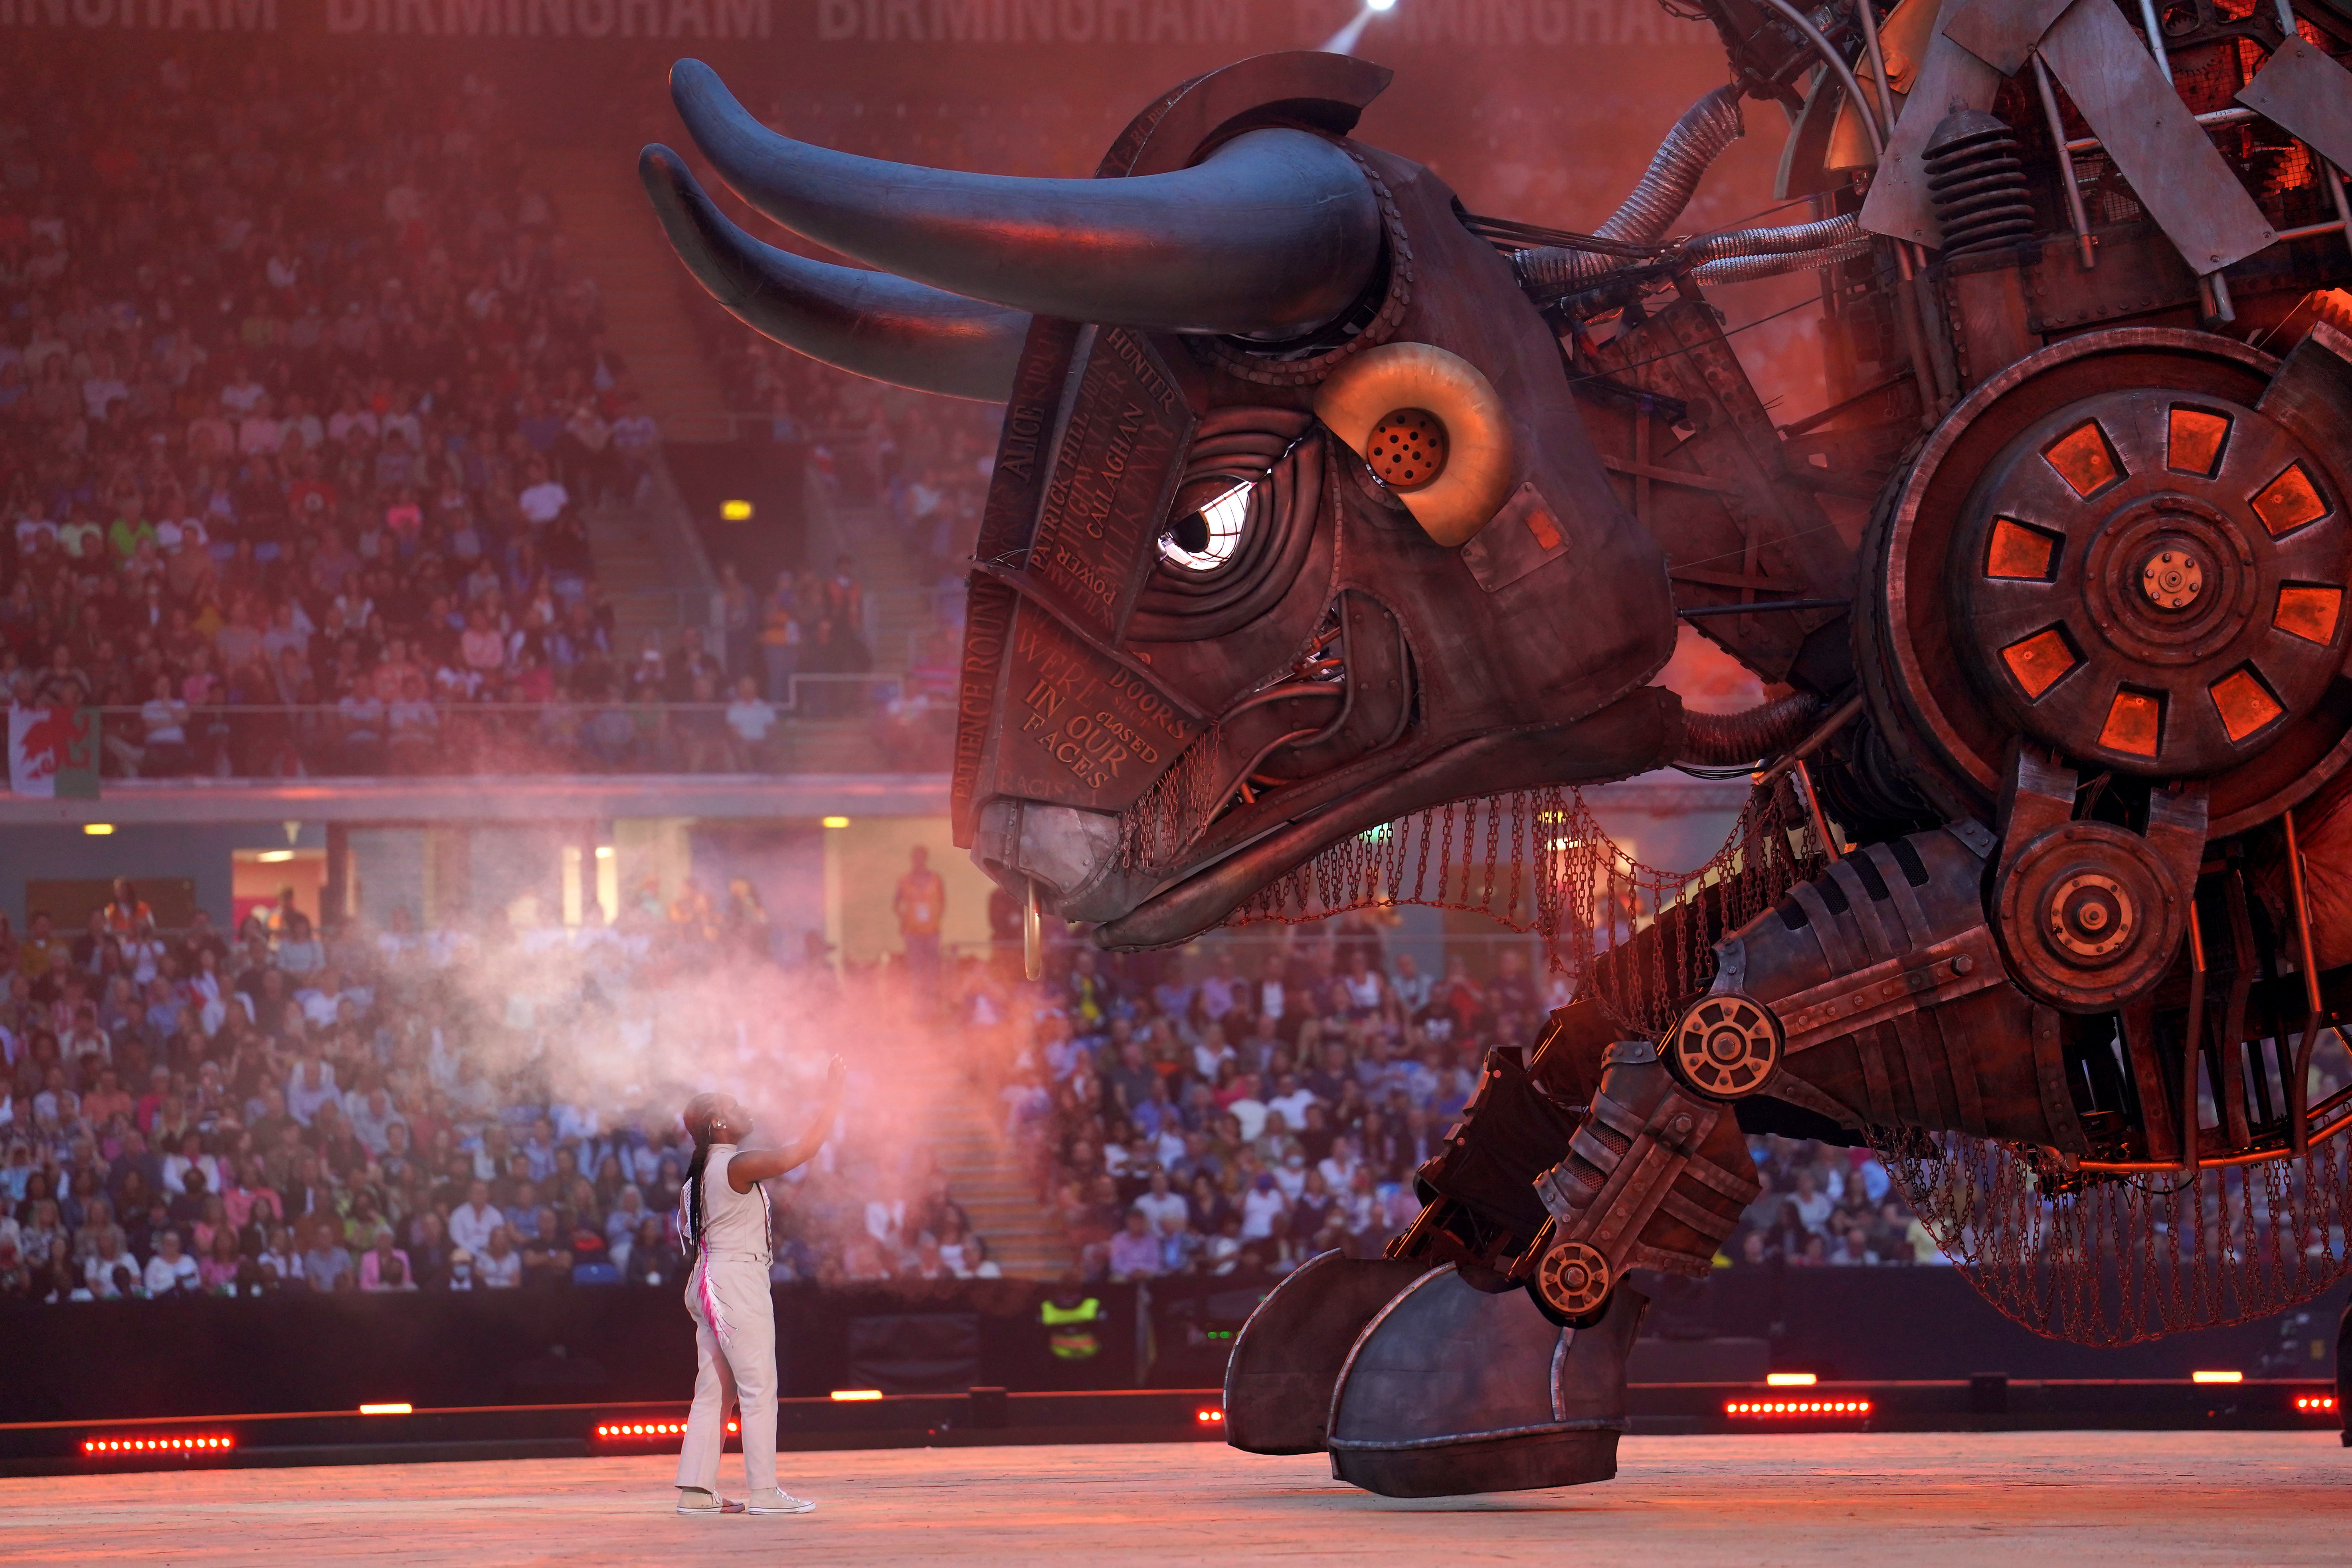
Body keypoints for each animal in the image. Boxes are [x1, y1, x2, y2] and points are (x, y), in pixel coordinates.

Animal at [644, 0, 2352, 1495]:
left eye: (1203, 527)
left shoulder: (2105, 854)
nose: (1015, 842)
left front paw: (1493, 1352)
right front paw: (1397, 1284)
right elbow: (1613, 1008)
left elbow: (1750, 1016)